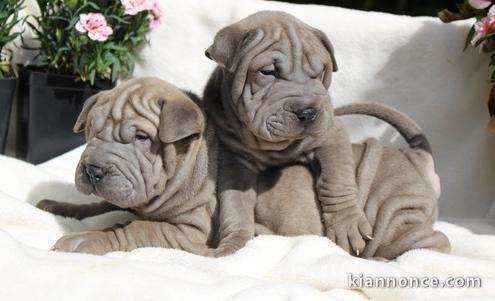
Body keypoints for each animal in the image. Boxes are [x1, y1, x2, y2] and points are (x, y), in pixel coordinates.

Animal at [36, 77, 219, 255]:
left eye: (141, 137)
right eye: (90, 127)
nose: (92, 170)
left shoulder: (191, 230)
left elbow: (139, 227)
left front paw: (88, 238)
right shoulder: (123, 194)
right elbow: (98, 206)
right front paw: (57, 206)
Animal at [204, 11, 372, 255]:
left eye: (319, 72)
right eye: (268, 72)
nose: (308, 112)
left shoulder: (331, 133)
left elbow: (337, 179)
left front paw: (348, 226)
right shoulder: (235, 160)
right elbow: (235, 205)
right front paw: (235, 244)